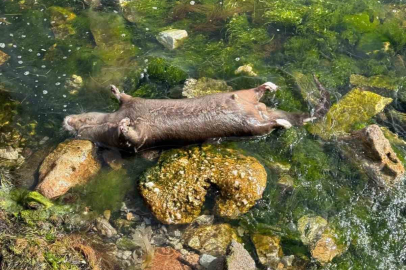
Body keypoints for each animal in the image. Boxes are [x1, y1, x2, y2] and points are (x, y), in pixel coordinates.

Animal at [64, 76, 330, 152]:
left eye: (79, 117)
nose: (66, 119)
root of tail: (259, 110)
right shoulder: (134, 135)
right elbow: (132, 135)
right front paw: (123, 124)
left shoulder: (133, 108)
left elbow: (126, 102)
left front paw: (115, 91)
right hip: (253, 119)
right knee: (266, 116)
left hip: (248, 110)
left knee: (259, 100)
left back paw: (270, 91)